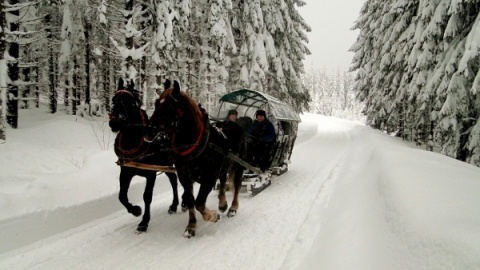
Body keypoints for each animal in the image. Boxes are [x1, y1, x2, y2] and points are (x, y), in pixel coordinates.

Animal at [109, 78, 181, 234]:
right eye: (113, 100)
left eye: (130, 102)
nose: (115, 122)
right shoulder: (126, 171)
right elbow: (121, 195)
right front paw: (135, 210)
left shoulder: (150, 174)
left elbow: (147, 196)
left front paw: (144, 222)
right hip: (166, 164)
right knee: (173, 180)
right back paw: (174, 205)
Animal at [144, 79, 246, 237]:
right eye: (155, 103)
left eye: (169, 106)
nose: (148, 131)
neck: (195, 144)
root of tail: (233, 123)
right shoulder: (185, 178)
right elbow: (191, 201)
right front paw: (191, 226)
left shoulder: (209, 178)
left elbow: (199, 203)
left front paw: (213, 216)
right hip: (224, 166)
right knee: (223, 181)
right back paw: (222, 204)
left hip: (238, 165)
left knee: (237, 184)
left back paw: (232, 208)